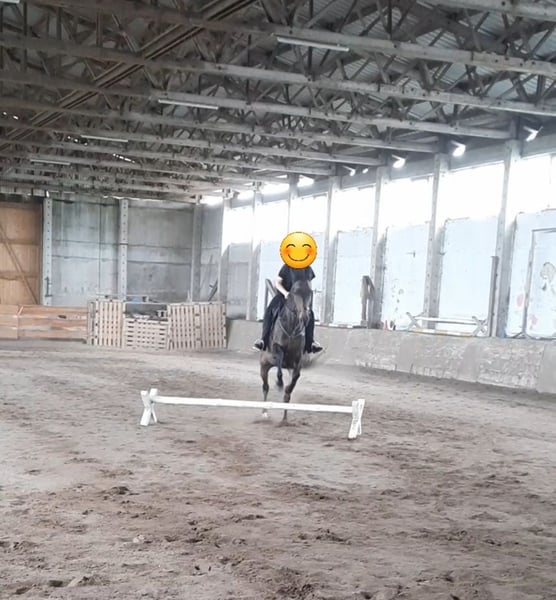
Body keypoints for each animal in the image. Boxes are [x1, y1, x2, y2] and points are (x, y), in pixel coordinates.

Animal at [259, 279, 312, 424]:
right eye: (295, 292)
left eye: (310, 292)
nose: (305, 317)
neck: (292, 326)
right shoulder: (277, 349)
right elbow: (279, 366)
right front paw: (279, 383)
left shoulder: (297, 359)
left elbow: (295, 378)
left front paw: (288, 388)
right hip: (264, 366)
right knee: (265, 387)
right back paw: (264, 413)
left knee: (286, 396)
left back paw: (284, 419)